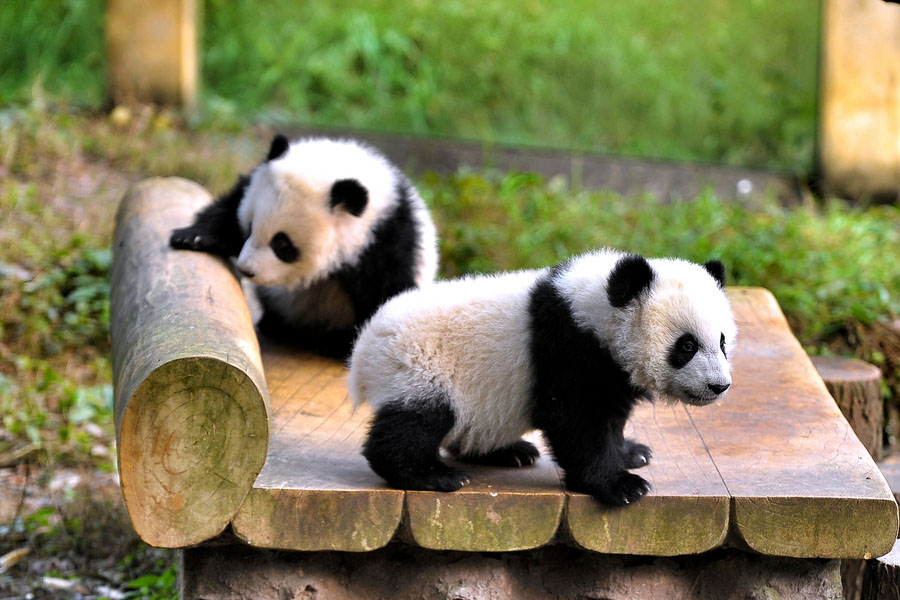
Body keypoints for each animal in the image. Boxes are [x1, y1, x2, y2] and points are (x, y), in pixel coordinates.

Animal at [170, 135, 438, 359]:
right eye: (249, 226)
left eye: (282, 244)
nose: (247, 270)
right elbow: (229, 206)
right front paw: (192, 237)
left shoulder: (385, 242)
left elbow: (385, 294)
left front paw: (345, 346)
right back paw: (276, 324)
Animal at [348, 249, 737, 506]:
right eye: (686, 345)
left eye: (721, 341)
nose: (719, 386)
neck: (593, 309)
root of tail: (364, 346)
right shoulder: (564, 348)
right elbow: (574, 420)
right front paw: (620, 485)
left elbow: (611, 415)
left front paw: (630, 452)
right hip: (420, 366)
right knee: (416, 422)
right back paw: (430, 474)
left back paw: (510, 452)